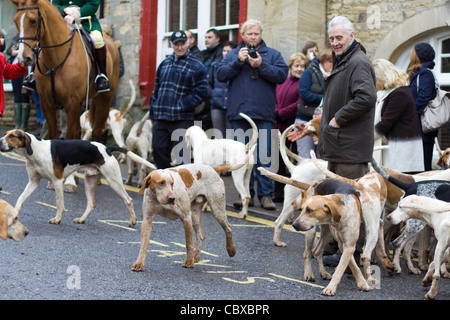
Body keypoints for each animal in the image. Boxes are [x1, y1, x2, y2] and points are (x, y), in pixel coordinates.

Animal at [10, 0, 119, 141]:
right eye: (15, 21)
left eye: (33, 21)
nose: (23, 58)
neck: (55, 59)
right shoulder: (47, 103)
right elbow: (54, 137)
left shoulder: (72, 103)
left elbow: (68, 137)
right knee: (79, 131)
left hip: (104, 98)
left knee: (96, 131)